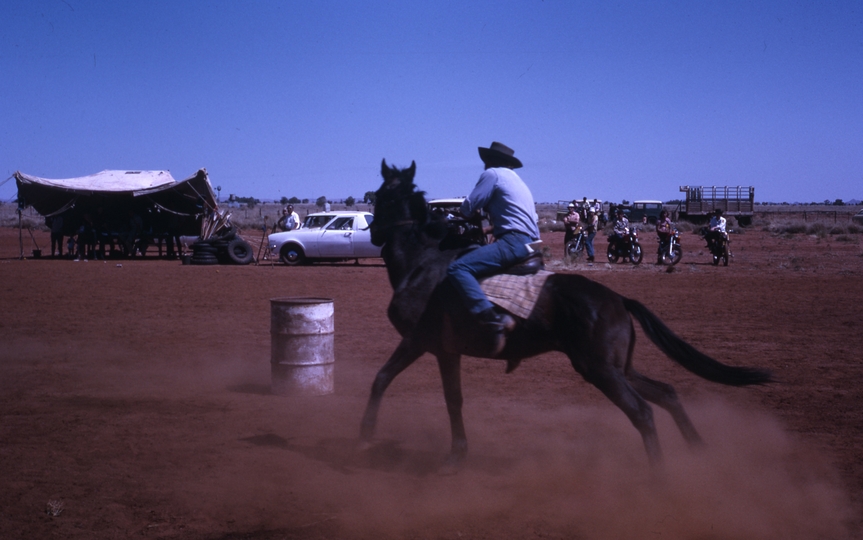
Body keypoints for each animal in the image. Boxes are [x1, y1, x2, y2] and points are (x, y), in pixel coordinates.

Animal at [362, 160, 772, 468]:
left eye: (382, 194)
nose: (373, 232)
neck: (424, 264)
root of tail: (618, 299)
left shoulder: (420, 340)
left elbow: (383, 380)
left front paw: (366, 437)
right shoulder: (446, 351)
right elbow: (452, 399)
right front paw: (457, 455)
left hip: (600, 369)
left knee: (642, 413)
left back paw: (662, 481)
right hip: (617, 367)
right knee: (667, 394)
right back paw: (698, 452)